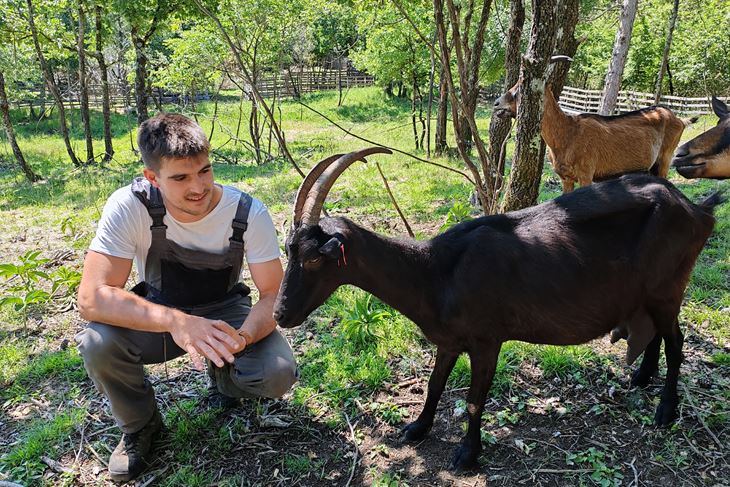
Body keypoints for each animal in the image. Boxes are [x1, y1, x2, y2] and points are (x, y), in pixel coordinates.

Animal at [272, 147, 716, 470]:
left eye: (315, 258)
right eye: (288, 250)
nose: (280, 315)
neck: (435, 272)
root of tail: (697, 209)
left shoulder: (487, 340)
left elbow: (473, 398)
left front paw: (467, 454)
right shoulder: (449, 340)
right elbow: (434, 384)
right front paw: (417, 428)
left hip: (667, 289)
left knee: (677, 342)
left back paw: (665, 410)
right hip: (650, 295)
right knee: (657, 334)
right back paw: (641, 377)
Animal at [492, 84, 692, 193]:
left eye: (519, 91)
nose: (496, 104)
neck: (567, 134)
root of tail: (678, 119)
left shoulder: (586, 174)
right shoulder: (566, 178)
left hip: (666, 157)